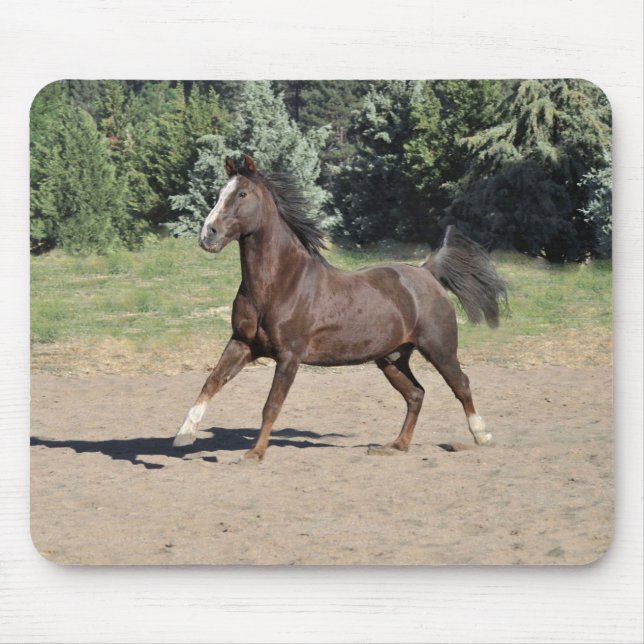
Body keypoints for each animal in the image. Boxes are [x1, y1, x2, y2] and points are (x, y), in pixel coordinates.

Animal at [173, 154, 507, 461]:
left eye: (242, 194)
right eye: (219, 192)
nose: (208, 234)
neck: (279, 284)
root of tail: (427, 272)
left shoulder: (289, 356)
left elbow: (271, 405)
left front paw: (254, 453)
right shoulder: (242, 343)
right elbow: (211, 382)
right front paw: (183, 435)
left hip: (439, 348)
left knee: (460, 385)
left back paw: (482, 436)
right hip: (392, 358)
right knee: (416, 394)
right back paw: (394, 446)